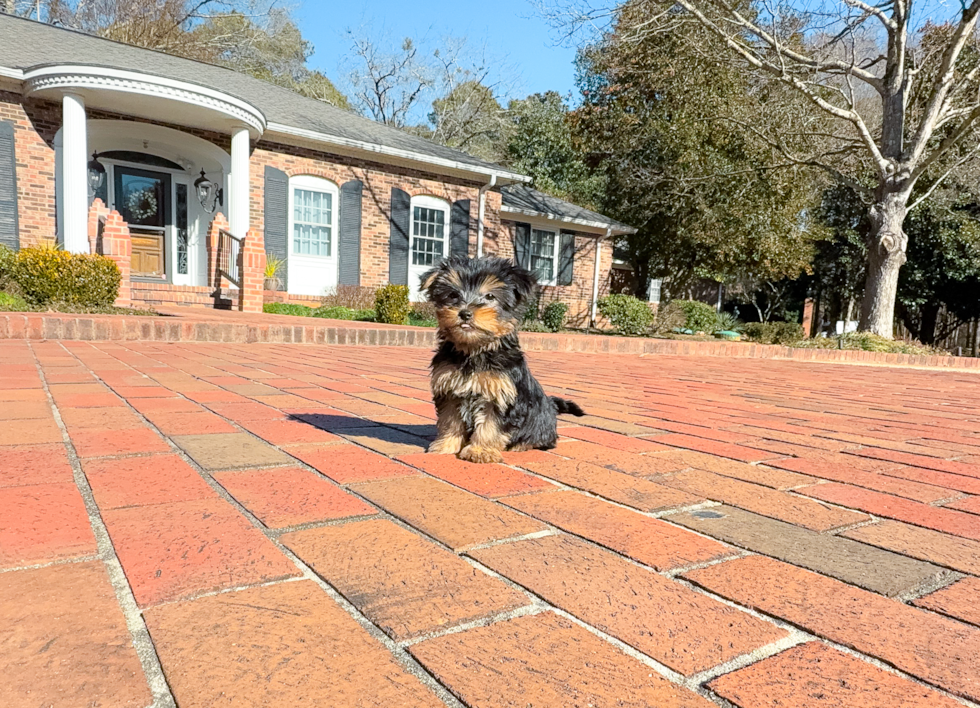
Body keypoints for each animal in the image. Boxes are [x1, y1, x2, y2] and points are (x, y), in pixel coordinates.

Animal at [420, 254, 580, 464]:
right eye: (453, 295)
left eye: (490, 296)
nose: (464, 313)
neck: (475, 350)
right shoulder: (449, 389)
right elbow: (450, 420)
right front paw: (445, 446)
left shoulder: (500, 395)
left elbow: (490, 426)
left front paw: (480, 451)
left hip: (541, 423)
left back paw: (523, 444)